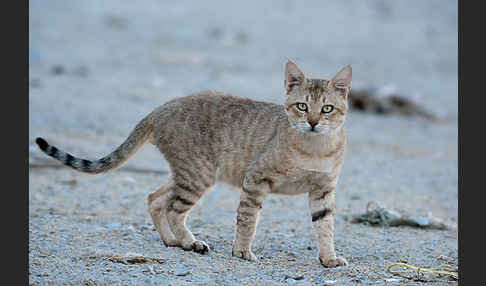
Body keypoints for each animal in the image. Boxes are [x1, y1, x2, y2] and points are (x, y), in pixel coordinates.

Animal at [36, 61, 352, 268]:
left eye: (326, 108)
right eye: (302, 106)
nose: (313, 122)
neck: (315, 149)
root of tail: (161, 108)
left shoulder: (323, 190)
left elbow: (325, 226)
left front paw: (328, 257)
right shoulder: (255, 178)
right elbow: (248, 219)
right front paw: (241, 251)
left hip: (188, 173)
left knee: (155, 198)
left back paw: (171, 241)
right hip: (198, 174)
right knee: (173, 208)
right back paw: (190, 241)